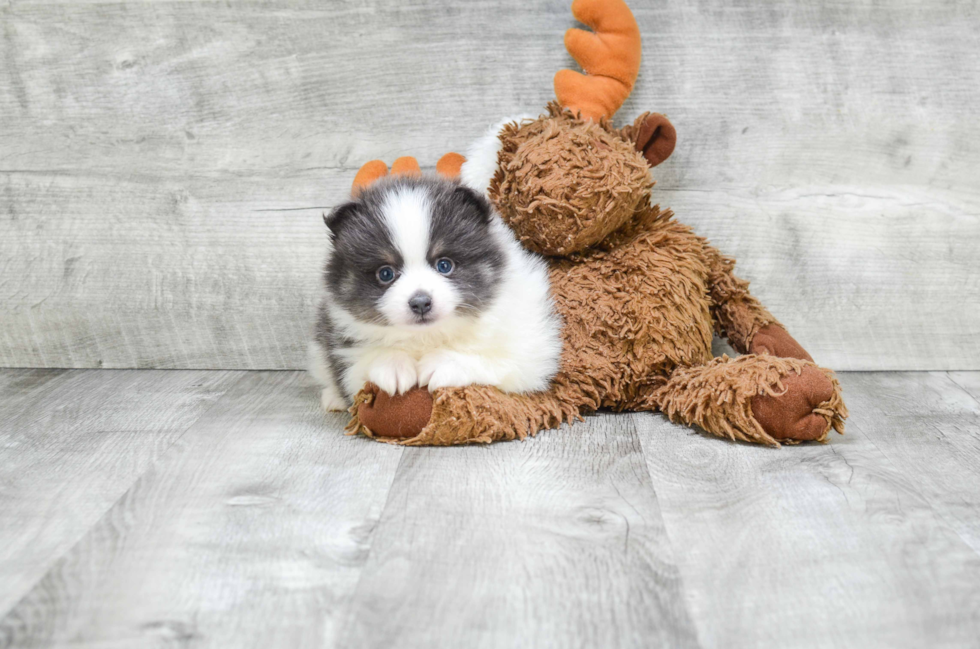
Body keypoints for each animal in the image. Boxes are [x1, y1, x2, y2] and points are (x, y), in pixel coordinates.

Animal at [310, 176, 564, 410]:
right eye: (385, 273)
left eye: (444, 265)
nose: (421, 302)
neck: (428, 336)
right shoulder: (340, 345)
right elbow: (357, 366)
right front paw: (392, 364)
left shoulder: (529, 349)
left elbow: (498, 361)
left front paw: (444, 363)